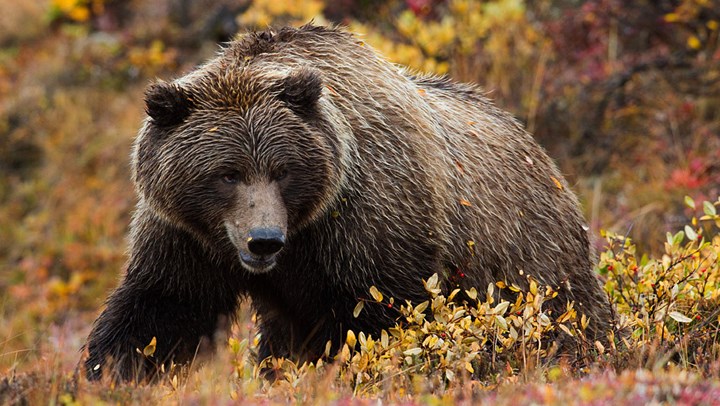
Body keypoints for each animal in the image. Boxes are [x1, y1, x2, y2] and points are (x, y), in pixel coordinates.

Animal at [84, 24, 612, 380]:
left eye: (282, 169)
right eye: (227, 173)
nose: (263, 241)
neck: (305, 227)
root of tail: (546, 157)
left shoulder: (368, 227)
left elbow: (375, 323)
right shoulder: (188, 235)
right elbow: (161, 309)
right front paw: (109, 374)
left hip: (530, 264)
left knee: (574, 322)